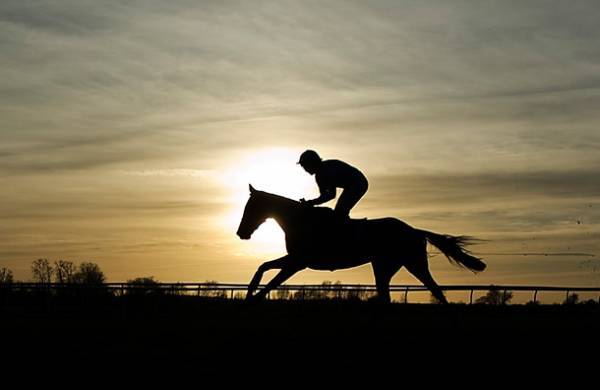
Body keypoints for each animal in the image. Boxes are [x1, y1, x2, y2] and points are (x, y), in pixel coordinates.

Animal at [237, 184, 486, 304]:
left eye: (251, 207)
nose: (241, 233)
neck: (300, 221)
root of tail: (415, 231)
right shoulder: (295, 259)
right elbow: (263, 267)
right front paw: (250, 291)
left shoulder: (299, 262)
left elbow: (273, 282)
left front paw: (253, 298)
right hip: (387, 266)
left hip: (413, 263)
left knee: (435, 290)